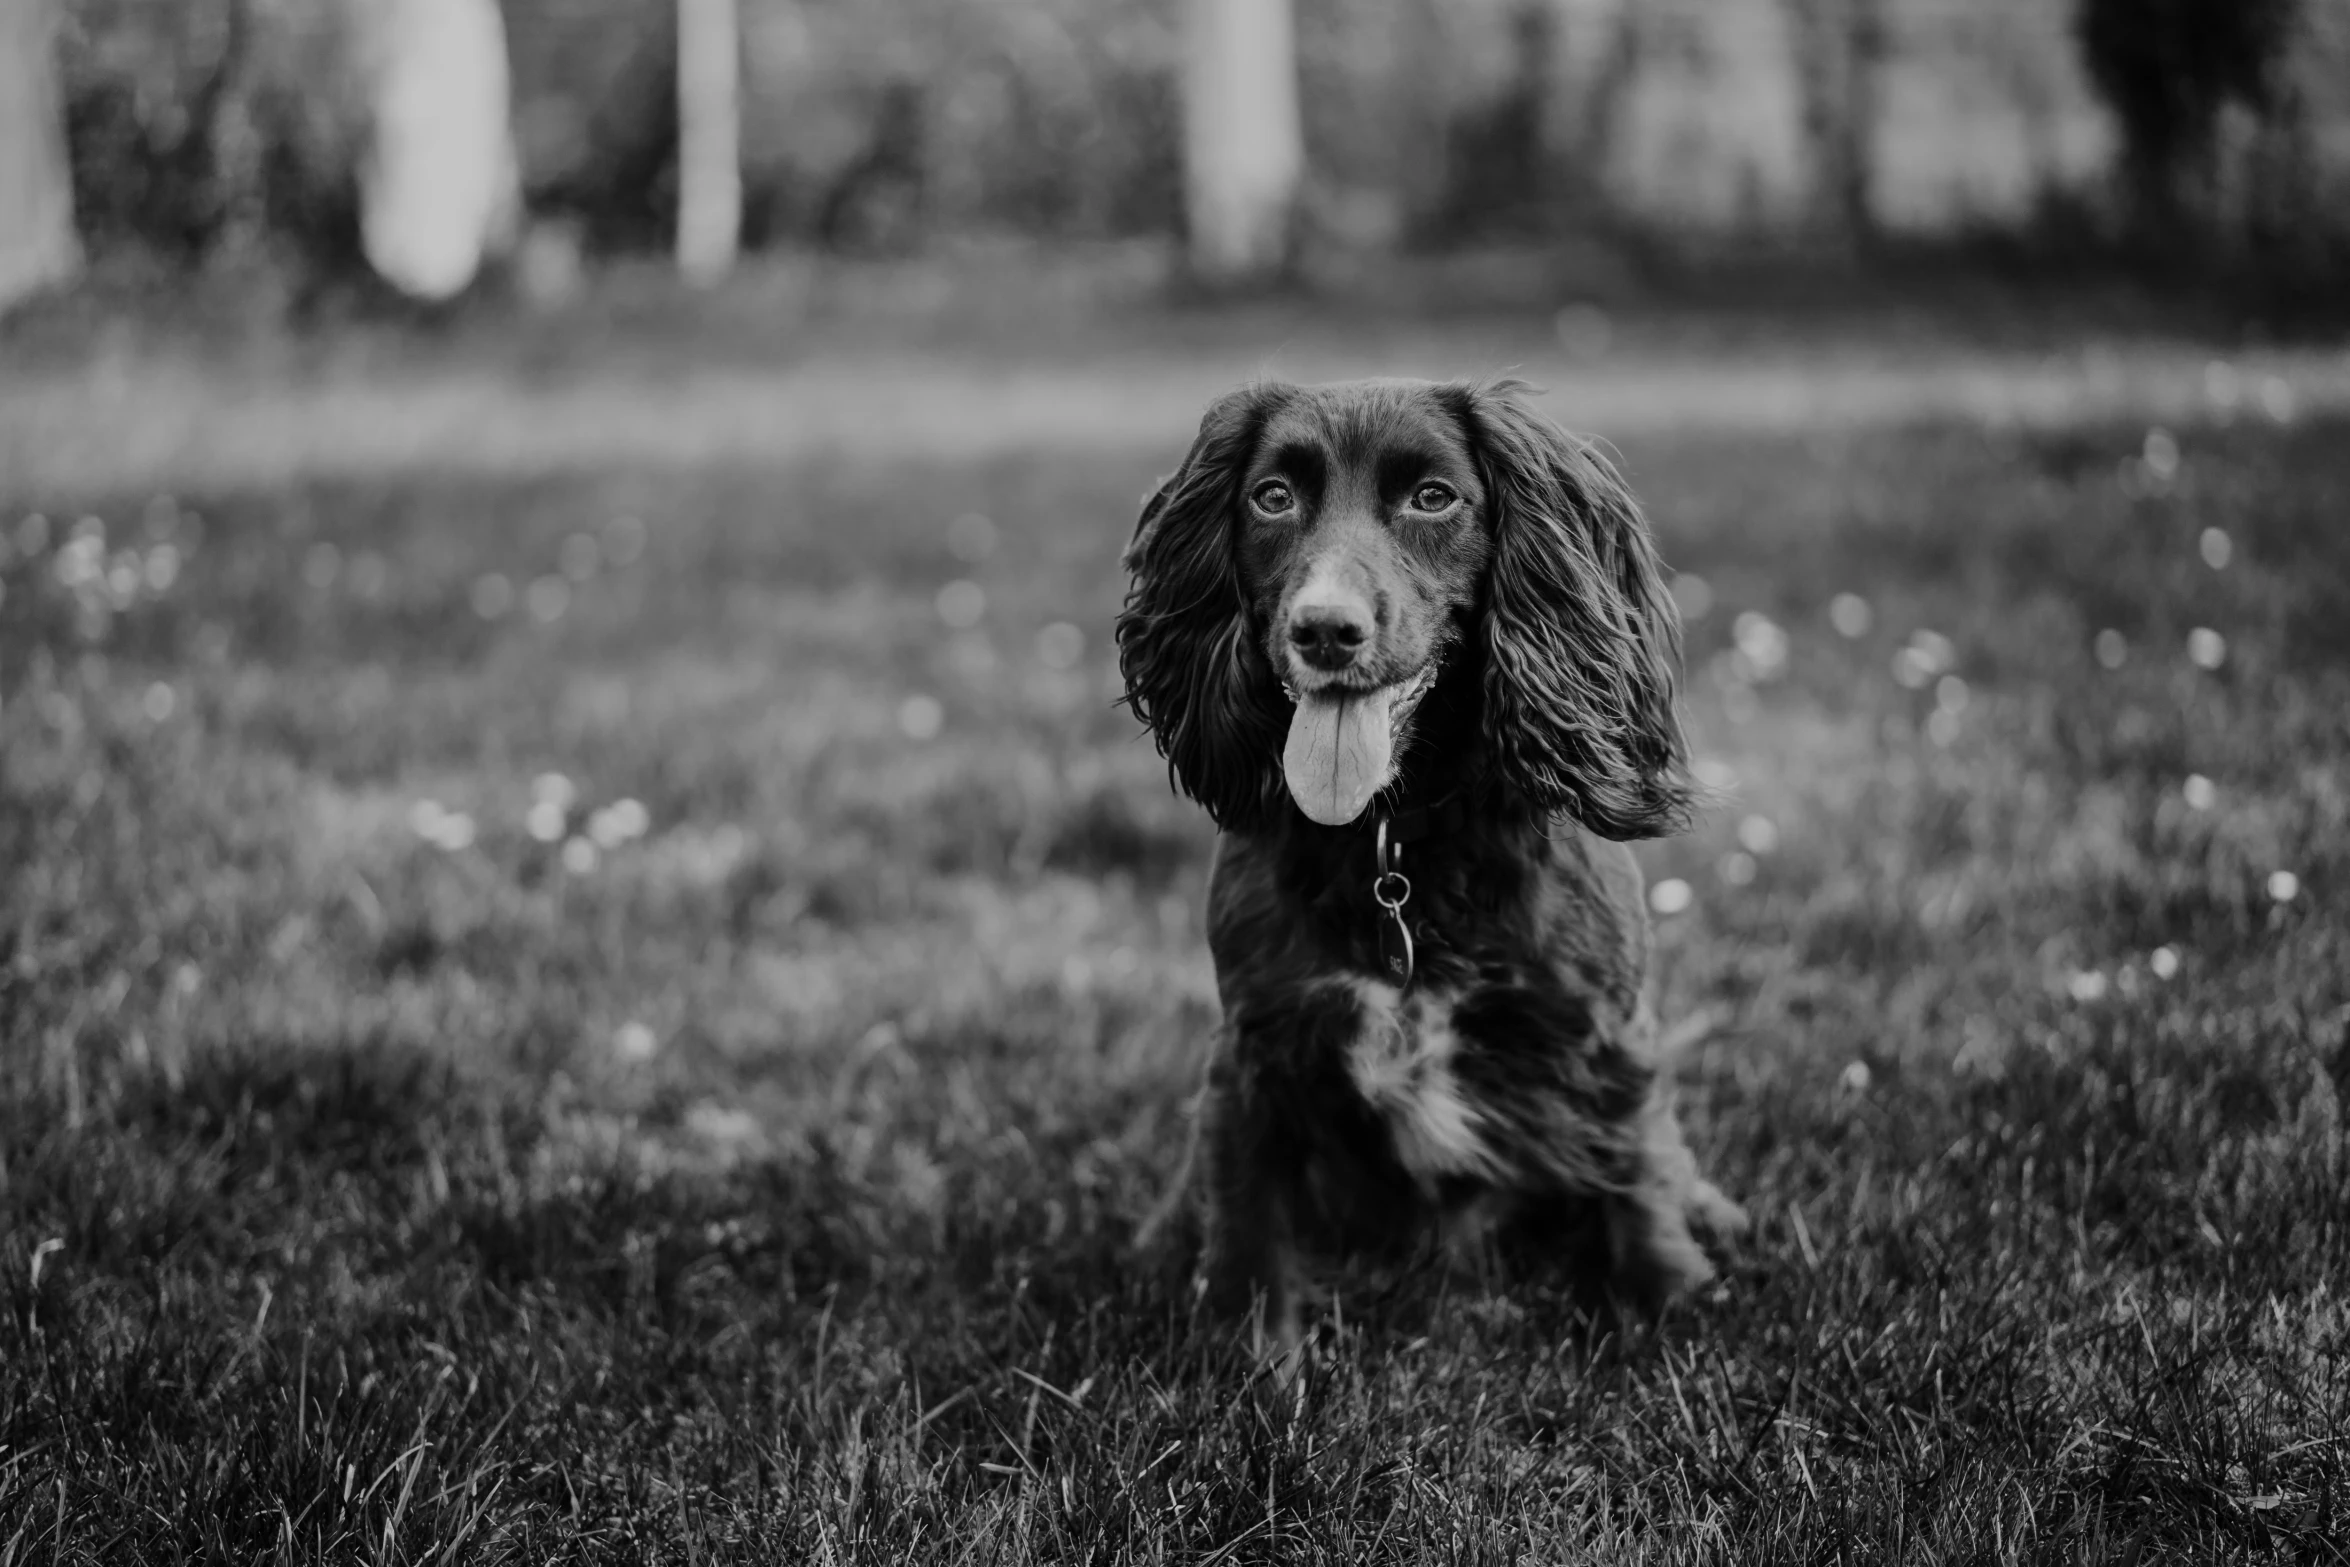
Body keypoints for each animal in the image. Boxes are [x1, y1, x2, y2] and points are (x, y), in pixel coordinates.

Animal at [1109, 375, 1738, 1362]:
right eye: (1272, 496)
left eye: (1433, 497)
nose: (1325, 629)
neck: (1392, 841)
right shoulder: (1256, 1050)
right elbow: (1248, 1223)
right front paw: (1253, 1359)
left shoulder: (1606, 1031)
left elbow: (1636, 1167)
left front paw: (1664, 1304)